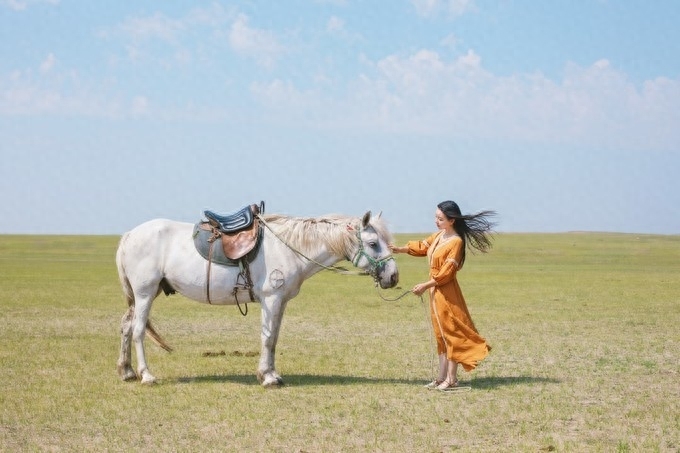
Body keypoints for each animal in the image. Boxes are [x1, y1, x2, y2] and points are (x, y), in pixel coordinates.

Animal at [116, 209, 398, 384]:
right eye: (373, 244)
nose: (393, 276)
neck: (288, 247)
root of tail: (129, 235)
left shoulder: (280, 301)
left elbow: (274, 339)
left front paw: (270, 373)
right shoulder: (271, 299)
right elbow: (267, 337)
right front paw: (268, 377)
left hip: (142, 295)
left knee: (127, 327)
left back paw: (127, 371)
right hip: (145, 293)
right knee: (138, 330)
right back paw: (146, 375)